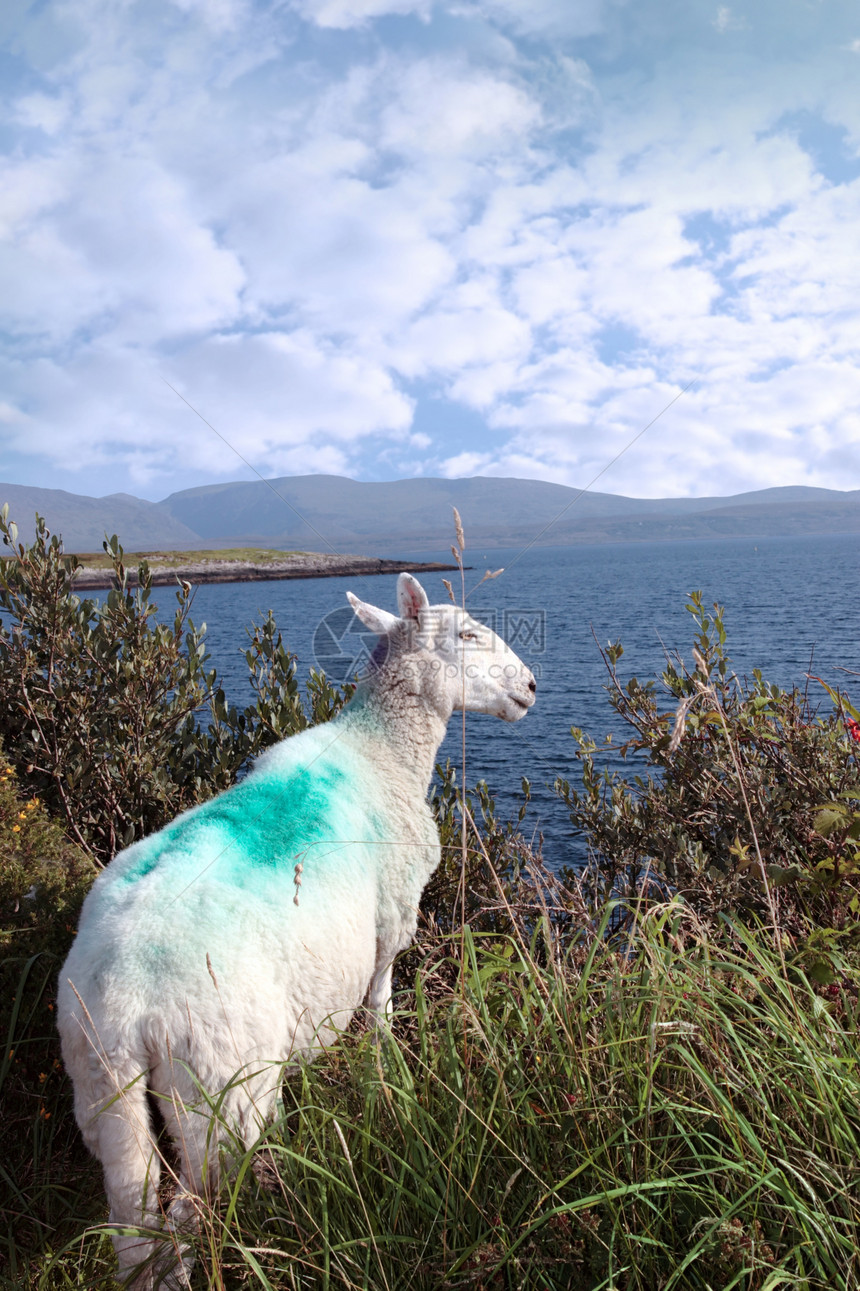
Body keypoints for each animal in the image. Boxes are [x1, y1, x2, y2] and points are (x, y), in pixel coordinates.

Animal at [56, 578, 532, 1291]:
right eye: (469, 634)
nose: (530, 686)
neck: (382, 748)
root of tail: (126, 996)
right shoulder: (393, 917)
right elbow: (381, 1001)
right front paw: (386, 1068)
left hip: (101, 1087)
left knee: (136, 1223)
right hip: (217, 1087)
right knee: (187, 1216)